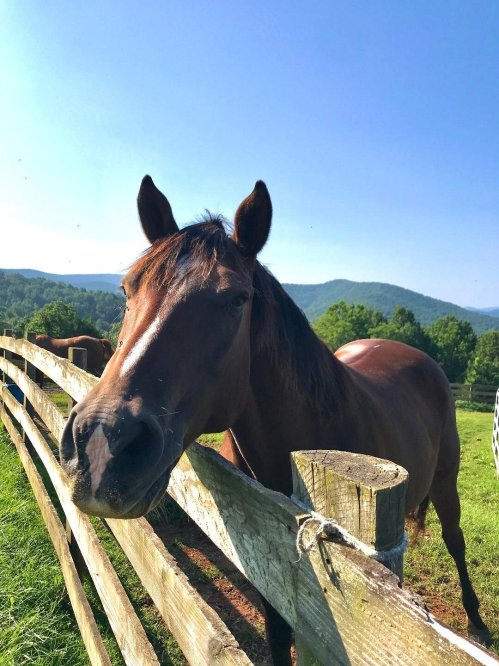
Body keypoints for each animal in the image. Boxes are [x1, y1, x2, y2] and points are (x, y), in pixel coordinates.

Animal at [60, 176, 490, 664]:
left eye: (237, 299)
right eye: (126, 290)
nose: (101, 444)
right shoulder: (271, 564)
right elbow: (278, 633)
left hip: (446, 481)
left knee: (455, 540)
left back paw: (477, 624)